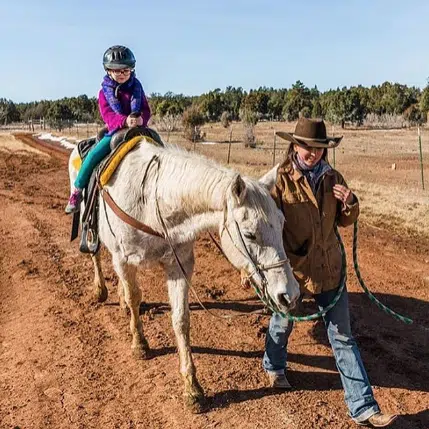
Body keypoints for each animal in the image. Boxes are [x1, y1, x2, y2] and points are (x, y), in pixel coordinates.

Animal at [68, 138, 300, 412]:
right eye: (250, 234)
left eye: (283, 223)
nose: (289, 294)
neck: (152, 201)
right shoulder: (124, 259)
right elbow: (135, 298)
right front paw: (140, 344)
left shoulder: (179, 266)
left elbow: (181, 320)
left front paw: (192, 387)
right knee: (95, 255)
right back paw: (101, 290)